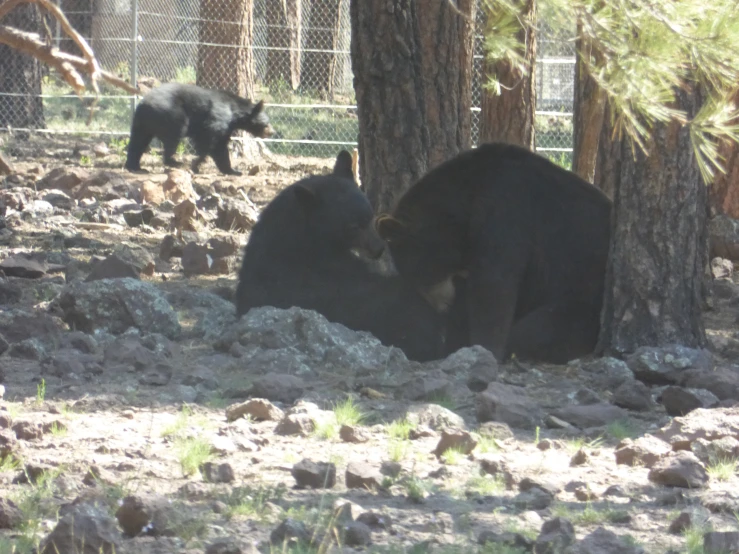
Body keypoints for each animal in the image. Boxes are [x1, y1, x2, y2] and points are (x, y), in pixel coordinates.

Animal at [124, 82, 274, 175]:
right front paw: (195, 163)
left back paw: (135, 166)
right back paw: (175, 162)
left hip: (142, 123)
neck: (235, 113)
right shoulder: (219, 117)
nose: (272, 132)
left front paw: (233, 171)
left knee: (138, 141)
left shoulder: (227, 128)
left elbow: (220, 146)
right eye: (266, 123)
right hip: (171, 114)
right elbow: (210, 141)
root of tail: (144, 103)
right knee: (174, 135)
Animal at [376, 141, 612, 362]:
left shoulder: (505, 211)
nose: (442, 308)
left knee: (539, 329)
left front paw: (484, 348)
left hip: (584, 296)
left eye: (422, 273)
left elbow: (494, 287)